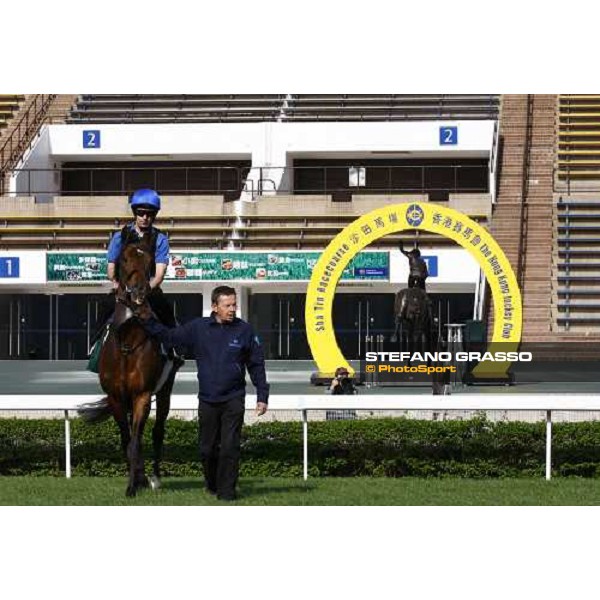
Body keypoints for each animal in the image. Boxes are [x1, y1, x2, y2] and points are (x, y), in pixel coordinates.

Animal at [77, 239, 177, 496]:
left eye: (150, 260)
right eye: (124, 258)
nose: (138, 292)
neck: (128, 342)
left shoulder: (142, 394)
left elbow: (136, 439)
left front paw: (134, 484)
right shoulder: (115, 396)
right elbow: (126, 438)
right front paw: (136, 479)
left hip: (165, 390)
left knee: (158, 431)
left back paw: (155, 478)